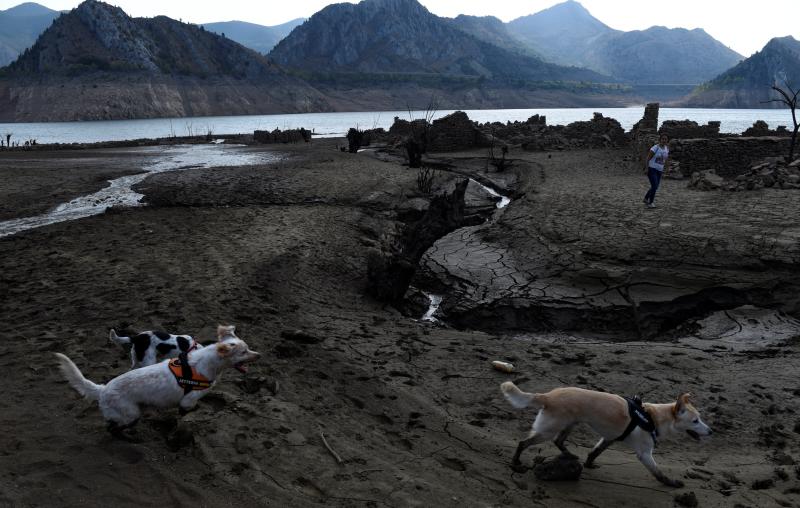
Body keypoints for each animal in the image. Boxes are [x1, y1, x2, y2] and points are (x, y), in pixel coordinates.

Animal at [500, 382, 712, 486]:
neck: (652, 417)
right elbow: (658, 472)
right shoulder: (645, 454)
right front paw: (672, 483)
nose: (711, 431)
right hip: (548, 429)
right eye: (695, 421)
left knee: (558, 441)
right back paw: (516, 462)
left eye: (700, 418)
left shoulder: (609, 438)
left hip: (570, 424)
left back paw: (570, 455)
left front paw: (589, 464)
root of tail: (547, 395)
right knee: (523, 443)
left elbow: (594, 452)